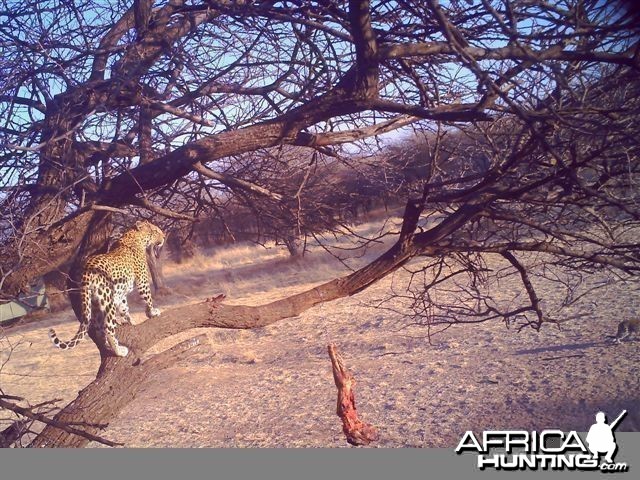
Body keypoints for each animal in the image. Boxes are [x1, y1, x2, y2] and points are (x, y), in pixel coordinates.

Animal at [49, 221, 166, 356]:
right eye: (155, 231)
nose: (164, 237)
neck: (135, 236)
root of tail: (87, 270)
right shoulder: (142, 280)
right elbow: (148, 298)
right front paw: (152, 312)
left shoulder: (120, 295)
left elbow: (124, 308)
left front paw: (131, 321)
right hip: (107, 299)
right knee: (108, 328)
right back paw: (119, 350)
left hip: (94, 303)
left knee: (99, 329)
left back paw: (106, 346)